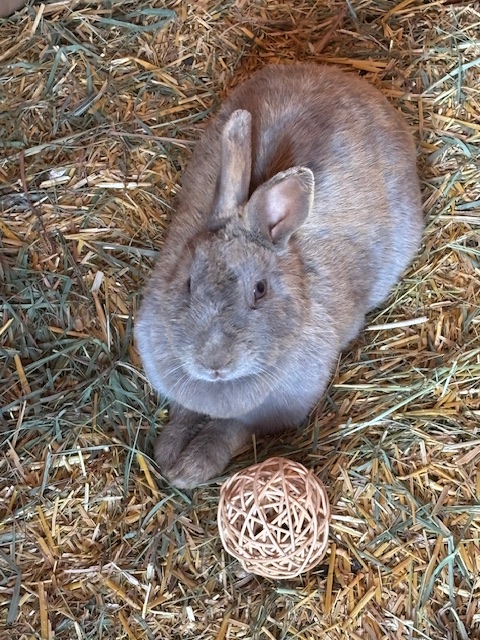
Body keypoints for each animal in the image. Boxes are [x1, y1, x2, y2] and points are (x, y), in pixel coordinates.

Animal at [135, 63, 424, 489]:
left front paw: (190, 468)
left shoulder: (269, 412)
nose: (214, 362)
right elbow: (186, 413)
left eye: (260, 290)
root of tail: (340, 77)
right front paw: (169, 453)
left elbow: (231, 429)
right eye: (187, 282)